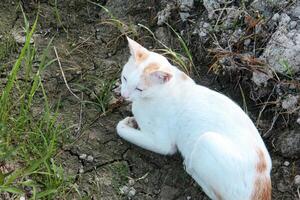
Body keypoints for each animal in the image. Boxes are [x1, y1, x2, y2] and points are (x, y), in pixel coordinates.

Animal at [116, 37, 272, 200]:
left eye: (139, 89)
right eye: (125, 78)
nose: (124, 95)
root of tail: (263, 186)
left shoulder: (163, 144)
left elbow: (119, 128)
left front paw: (127, 123)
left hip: (206, 140)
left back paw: (190, 167)